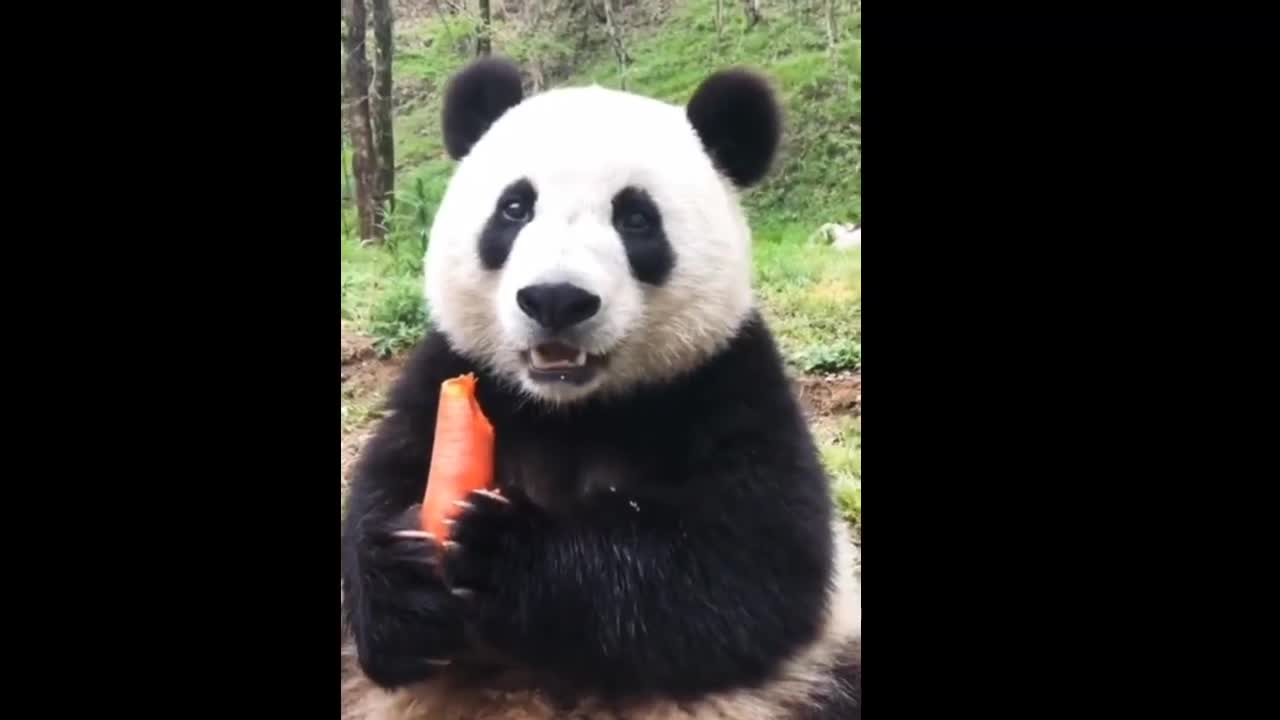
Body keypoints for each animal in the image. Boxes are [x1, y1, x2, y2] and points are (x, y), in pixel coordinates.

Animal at [340, 57, 860, 717]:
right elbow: (385, 476)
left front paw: (506, 550)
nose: (556, 299)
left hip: (809, 677)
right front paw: (402, 576)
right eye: (515, 208)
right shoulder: (452, 370)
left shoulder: (726, 380)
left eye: (636, 218)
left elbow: (747, 564)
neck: (570, 407)